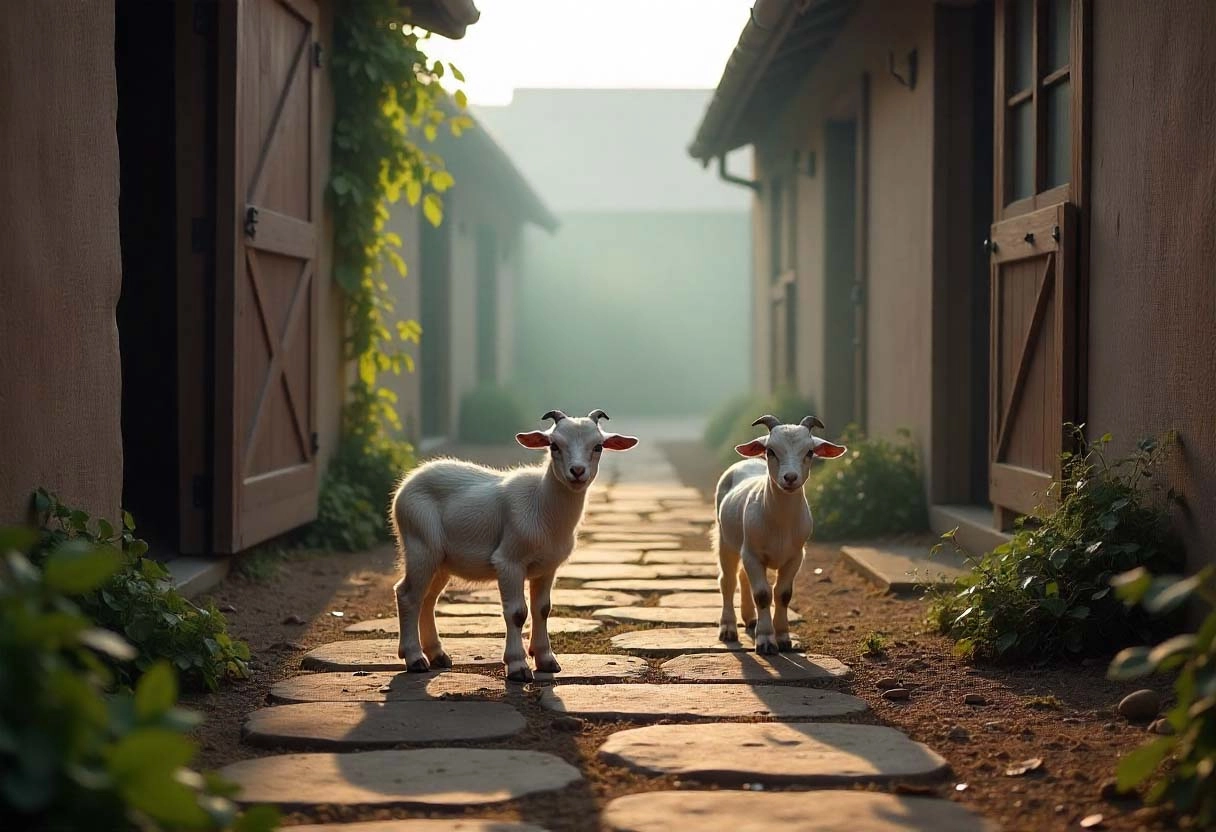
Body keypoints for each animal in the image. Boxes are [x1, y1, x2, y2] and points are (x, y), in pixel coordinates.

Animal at [390, 409, 638, 681]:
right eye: (554, 445)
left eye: (598, 446)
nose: (577, 471)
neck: (543, 505)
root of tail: (407, 483)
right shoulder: (509, 561)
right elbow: (518, 613)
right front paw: (518, 666)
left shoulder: (547, 567)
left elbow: (543, 609)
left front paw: (546, 660)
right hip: (420, 543)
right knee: (408, 595)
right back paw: (415, 658)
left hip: (441, 561)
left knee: (428, 599)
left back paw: (437, 655)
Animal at [713, 414, 847, 654]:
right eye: (771, 451)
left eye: (809, 452)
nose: (790, 477)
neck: (780, 525)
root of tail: (746, 461)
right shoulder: (753, 554)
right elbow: (763, 594)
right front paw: (766, 641)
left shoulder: (796, 555)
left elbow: (783, 594)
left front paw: (784, 638)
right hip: (726, 539)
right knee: (728, 580)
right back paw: (728, 628)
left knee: (743, 577)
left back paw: (751, 619)